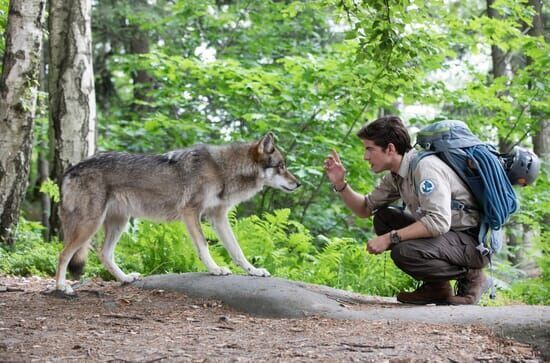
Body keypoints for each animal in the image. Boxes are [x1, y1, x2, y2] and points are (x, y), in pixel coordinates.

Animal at [55, 134, 302, 296]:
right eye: (281, 166)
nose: (298, 184)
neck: (223, 169)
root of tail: (70, 169)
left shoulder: (218, 217)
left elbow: (237, 250)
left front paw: (254, 271)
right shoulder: (191, 212)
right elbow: (203, 245)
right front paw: (215, 269)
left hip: (118, 224)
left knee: (104, 254)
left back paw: (125, 279)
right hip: (90, 225)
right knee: (63, 254)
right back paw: (62, 286)